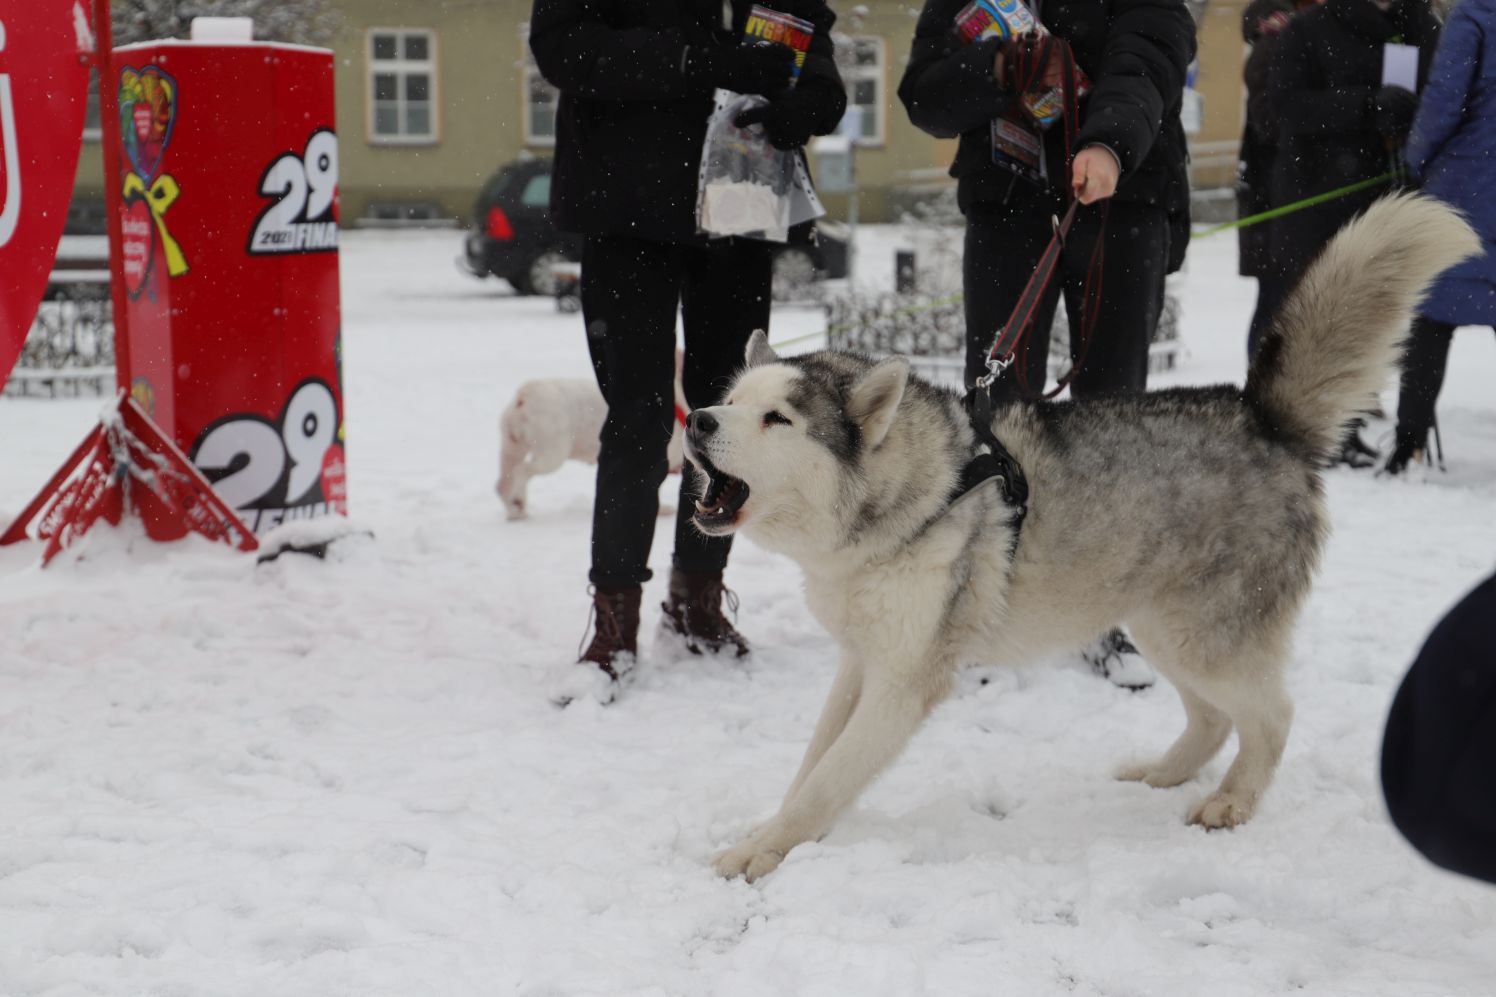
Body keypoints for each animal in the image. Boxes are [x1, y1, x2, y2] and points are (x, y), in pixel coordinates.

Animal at [502, 351, 688, 520]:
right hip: (552, 452)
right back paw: (517, 502)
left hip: (512, 448)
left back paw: (515, 511)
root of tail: (525, 395)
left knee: (503, 482)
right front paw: (660, 510)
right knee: (521, 471)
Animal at [688, 194, 1484, 880]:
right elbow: (812, 764)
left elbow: (828, 778)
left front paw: (763, 852)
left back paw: (1230, 801)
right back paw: (1165, 772)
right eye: (732, 399)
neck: (916, 501)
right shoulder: (861, 662)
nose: (696, 419)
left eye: (778, 419)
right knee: (1213, 717)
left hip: (1206, 638)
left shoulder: (905, 680)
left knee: (1271, 716)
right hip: (1165, 630)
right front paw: (772, 831)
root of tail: (1261, 417)